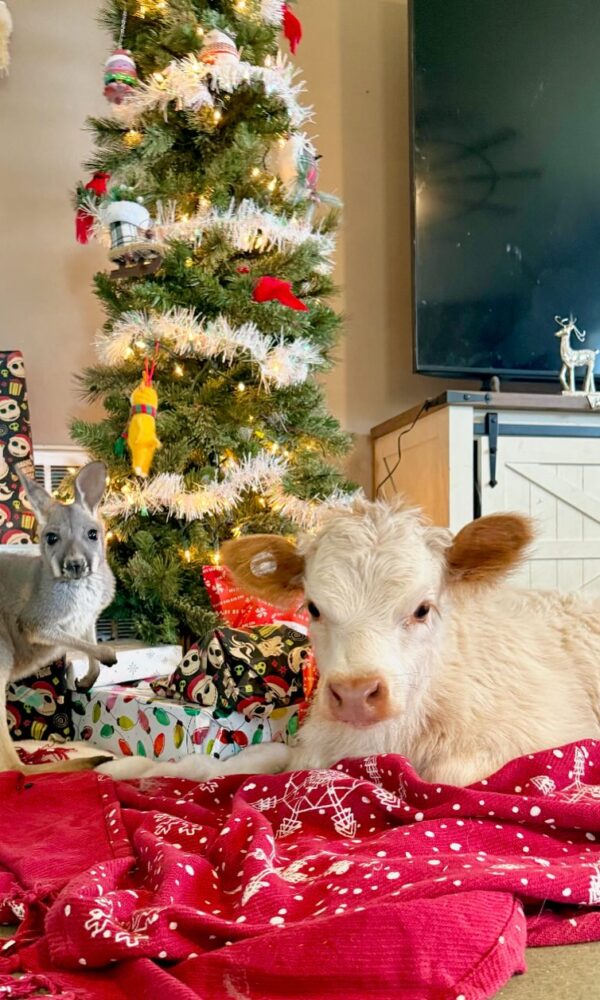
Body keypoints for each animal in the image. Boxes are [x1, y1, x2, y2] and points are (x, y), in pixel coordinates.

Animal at [100, 498, 600, 786]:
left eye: (422, 608)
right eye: (314, 608)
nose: (357, 694)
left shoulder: (535, 737)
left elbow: (449, 776)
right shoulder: (313, 746)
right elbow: (246, 759)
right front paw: (133, 770)